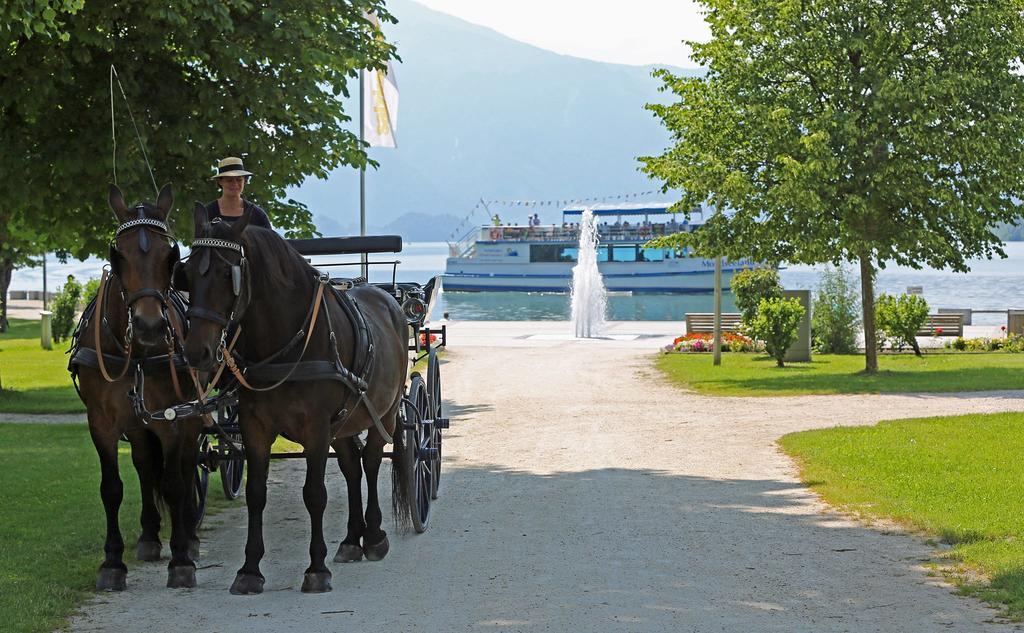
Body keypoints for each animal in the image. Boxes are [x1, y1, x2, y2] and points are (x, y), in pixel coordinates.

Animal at [69, 184, 202, 589]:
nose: (149, 326)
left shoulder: (173, 418)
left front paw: (181, 560)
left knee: (187, 467)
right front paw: (112, 562)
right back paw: (148, 537)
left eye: (169, 255)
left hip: (191, 417)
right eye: (120, 254)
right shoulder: (102, 422)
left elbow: (174, 484)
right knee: (144, 465)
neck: (137, 352)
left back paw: (189, 536)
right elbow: (111, 488)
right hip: (139, 422)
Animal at [186, 205, 409, 589]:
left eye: (226, 273)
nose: (196, 351)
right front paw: (249, 569)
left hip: (387, 412)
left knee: (370, 461)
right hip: (345, 422)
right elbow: (255, 493)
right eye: (184, 273)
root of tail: (388, 300)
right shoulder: (255, 426)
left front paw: (316, 568)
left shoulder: (316, 428)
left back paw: (374, 536)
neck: (285, 342)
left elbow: (314, 493)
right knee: (352, 468)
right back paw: (352, 539)